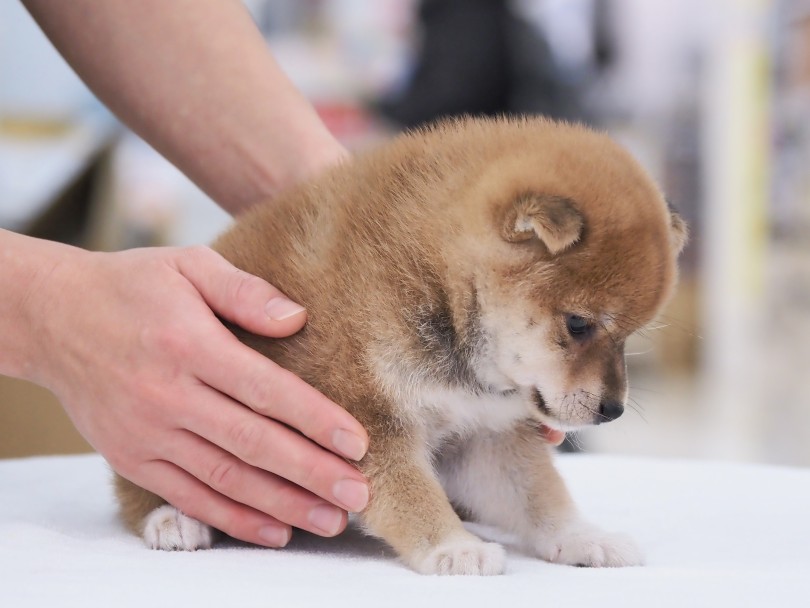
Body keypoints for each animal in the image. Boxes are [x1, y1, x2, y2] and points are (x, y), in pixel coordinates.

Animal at [112, 117, 680, 576]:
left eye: (628, 335)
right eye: (579, 325)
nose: (613, 410)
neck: (440, 289)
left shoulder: (486, 434)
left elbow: (540, 497)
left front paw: (584, 537)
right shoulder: (367, 422)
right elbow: (412, 496)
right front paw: (454, 548)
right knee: (138, 486)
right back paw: (171, 519)